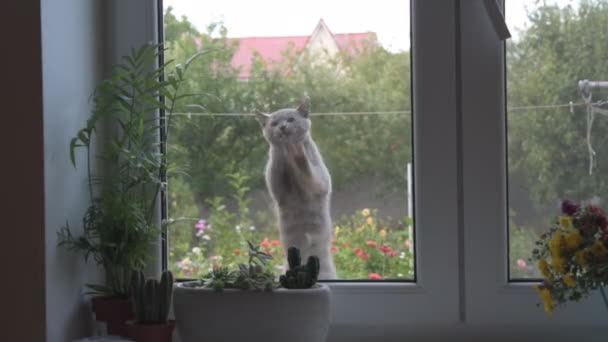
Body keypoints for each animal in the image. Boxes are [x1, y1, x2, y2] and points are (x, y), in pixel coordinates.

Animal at [258, 97, 340, 280]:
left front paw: (297, 153)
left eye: (290, 119)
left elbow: (307, 171)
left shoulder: (320, 180)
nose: (282, 127)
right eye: (274, 123)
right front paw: (281, 152)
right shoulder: (278, 188)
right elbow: (276, 165)